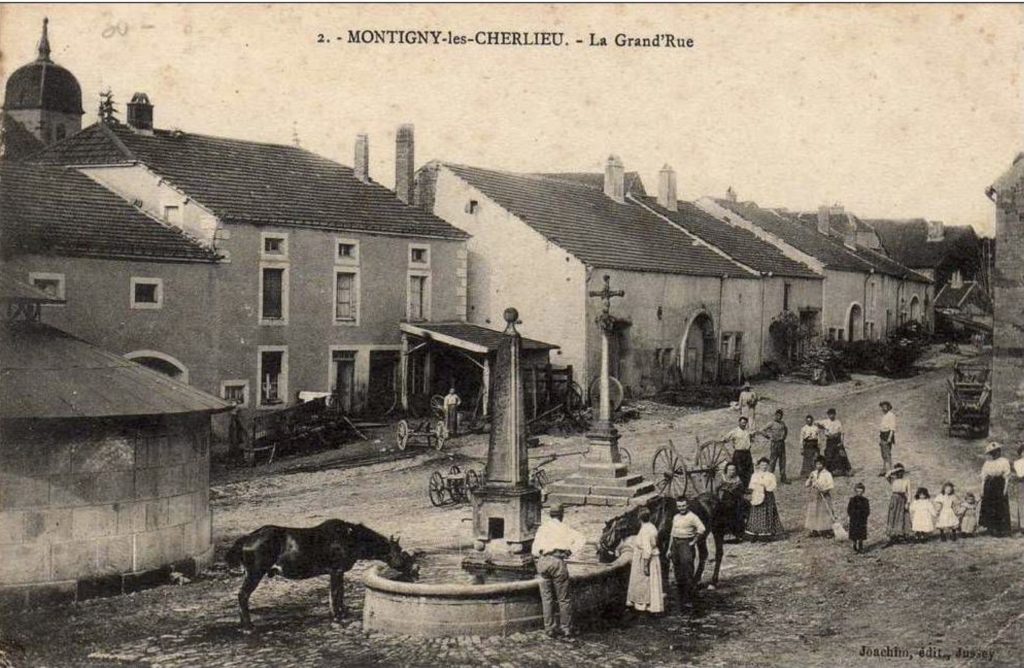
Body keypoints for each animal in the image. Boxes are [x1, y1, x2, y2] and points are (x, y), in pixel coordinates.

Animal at [224, 518, 415, 627]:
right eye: (400, 551)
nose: (414, 568)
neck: (351, 538)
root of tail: (245, 539)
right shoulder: (336, 570)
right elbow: (336, 593)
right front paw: (338, 616)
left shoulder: (337, 572)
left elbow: (337, 594)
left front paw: (340, 613)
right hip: (254, 573)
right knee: (242, 595)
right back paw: (248, 625)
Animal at [593, 489, 737, 590]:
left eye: (604, 535)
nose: (601, 558)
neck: (657, 515)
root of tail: (717, 499)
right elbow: (660, 561)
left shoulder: (665, 540)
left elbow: (665, 561)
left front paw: (665, 587)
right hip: (702, 537)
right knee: (703, 555)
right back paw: (695, 581)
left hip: (718, 531)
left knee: (718, 554)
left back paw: (713, 582)